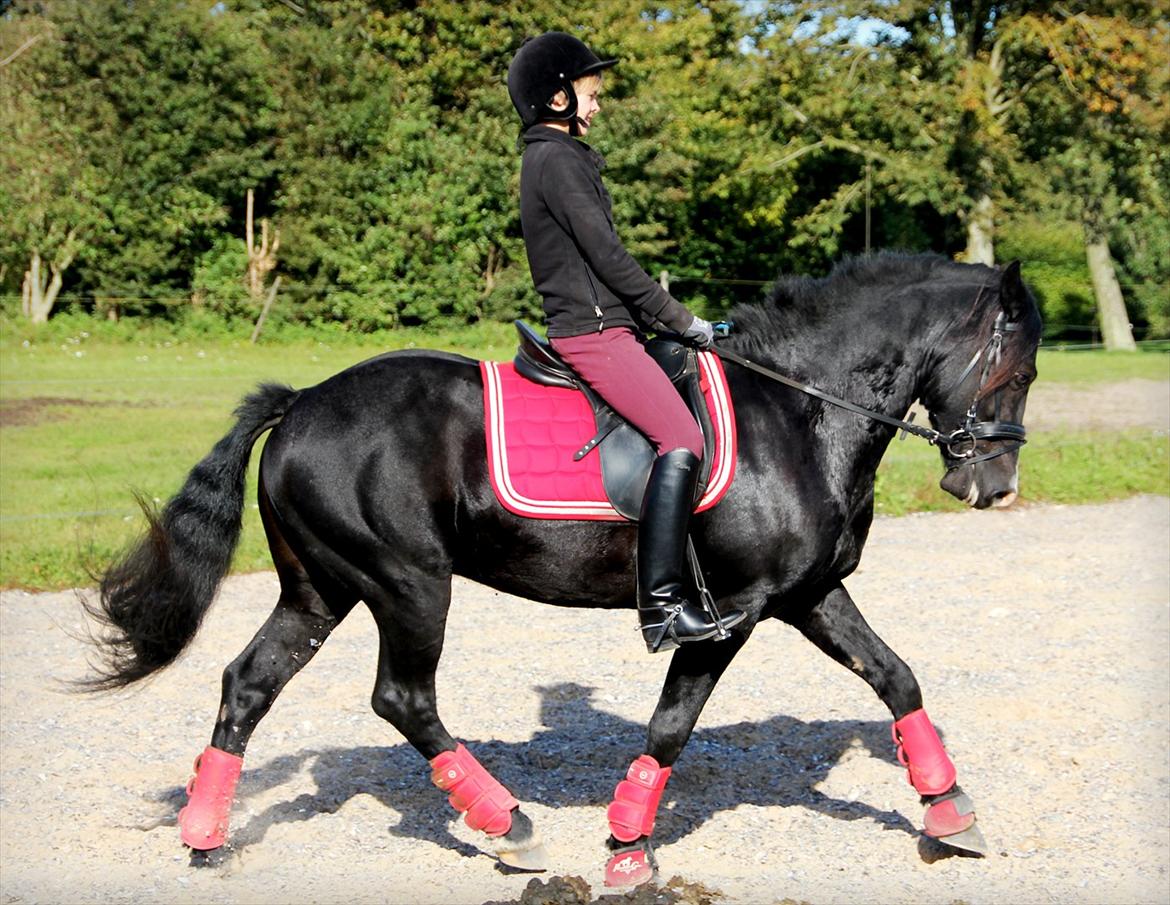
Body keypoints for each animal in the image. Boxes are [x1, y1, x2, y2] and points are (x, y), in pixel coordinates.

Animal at [88, 253, 1043, 883]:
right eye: (1019, 366)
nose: (993, 485)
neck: (799, 412)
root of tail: (299, 406)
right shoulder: (725, 612)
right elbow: (671, 724)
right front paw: (626, 846)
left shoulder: (808, 592)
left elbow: (896, 676)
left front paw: (951, 812)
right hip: (407, 583)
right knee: (403, 698)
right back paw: (509, 826)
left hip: (321, 590)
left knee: (249, 683)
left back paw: (205, 836)